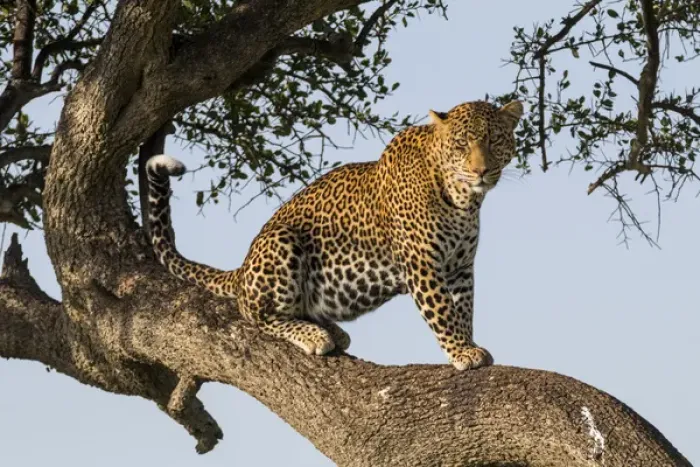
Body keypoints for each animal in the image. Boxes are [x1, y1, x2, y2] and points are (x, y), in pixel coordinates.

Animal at [146, 99, 524, 370]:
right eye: (461, 144)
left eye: (494, 140)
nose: (481, 170)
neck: (463, 199)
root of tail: (241, 270)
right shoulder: (423, 263)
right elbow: (443, 310)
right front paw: (462, 351)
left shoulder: (460, 267)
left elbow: (464, 309)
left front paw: (469, 343)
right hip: (280, 242)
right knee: (259, 316)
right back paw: (314, 334)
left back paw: (333, 330)